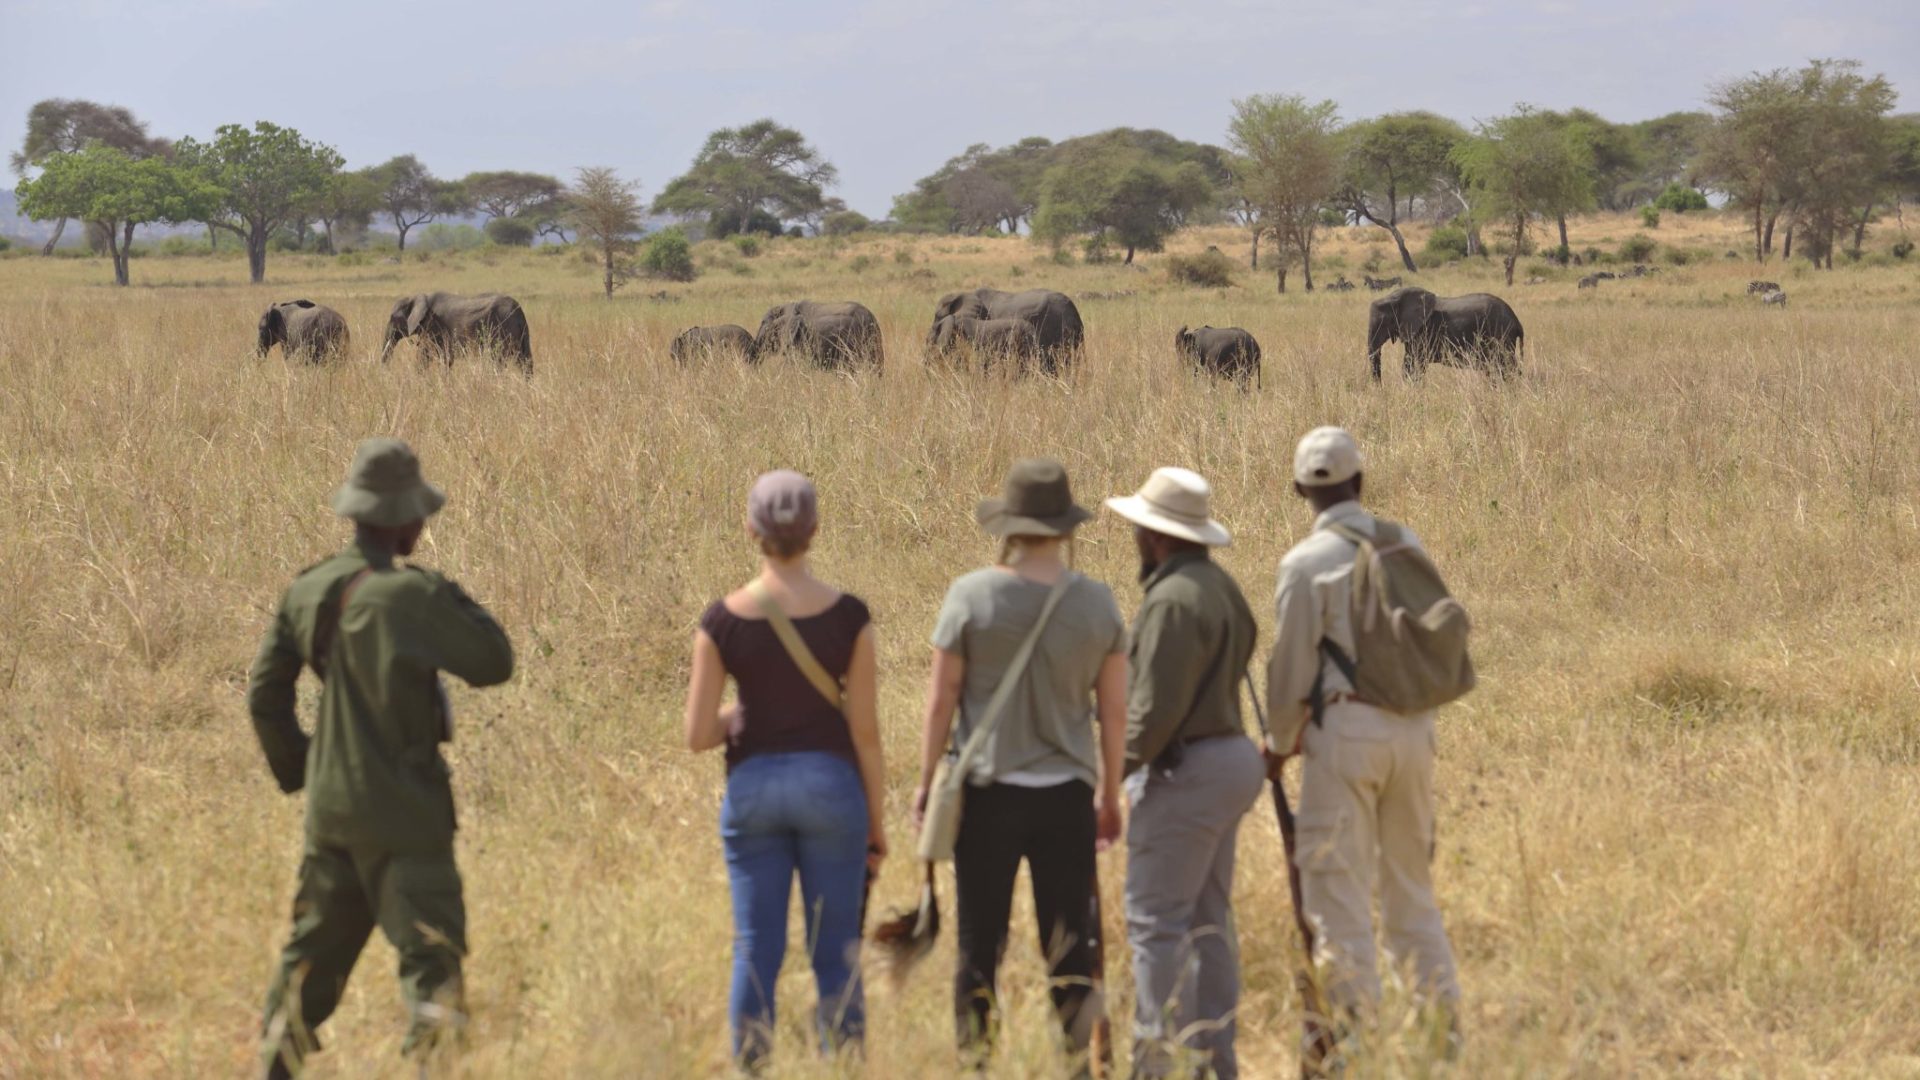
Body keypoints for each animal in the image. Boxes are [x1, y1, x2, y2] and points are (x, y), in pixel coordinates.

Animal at [380, 292, 532, 372]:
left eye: (393, 318)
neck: (418, 297)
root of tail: (519, 311)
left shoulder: (434, 327)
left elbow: (427, 356)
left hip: (502, 329)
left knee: (497, 361)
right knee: (525, 362)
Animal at [1367, 287, 1524, 381]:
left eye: (1384, 322)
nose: (1380, 388)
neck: (1396, 296)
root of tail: (1517, 321)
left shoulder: (1422, 331)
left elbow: (1412, 363)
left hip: (1501, 335)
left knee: (1505, 366)